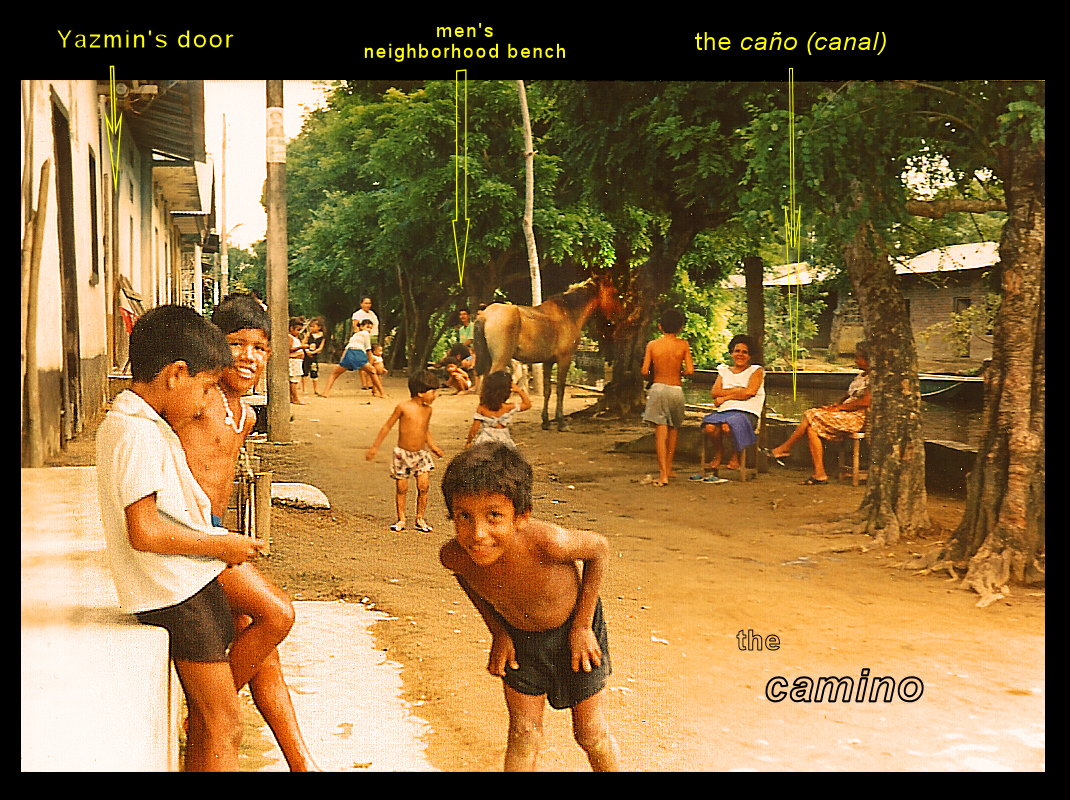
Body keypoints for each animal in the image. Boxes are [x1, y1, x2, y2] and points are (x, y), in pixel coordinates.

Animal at [475, 271, 620, 432]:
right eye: (615, 293)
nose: (619, 318)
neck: (568, 313)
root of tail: (486, 314)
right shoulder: (564, 359)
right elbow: (560, 390)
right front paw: (561, 422)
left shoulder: (548, 362)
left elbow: (547, 390)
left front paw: (545, 421)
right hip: (501, 360)